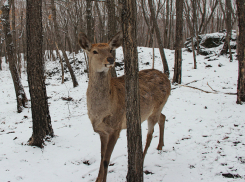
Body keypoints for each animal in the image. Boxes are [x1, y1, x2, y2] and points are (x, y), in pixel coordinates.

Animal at [78, 31, 170, 182]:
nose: (110, 59)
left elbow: (106, 160)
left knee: (150, 134)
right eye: (95, 51)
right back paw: (160, 146)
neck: (101, 112)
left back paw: (142, 160)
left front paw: (103, 180)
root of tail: (167, 78)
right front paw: (98, 179)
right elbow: (101, 156)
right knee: (163, 117)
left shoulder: (116, 128)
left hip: (157, 107)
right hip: (154, 110)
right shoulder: (102, 131)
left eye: (110, 49)